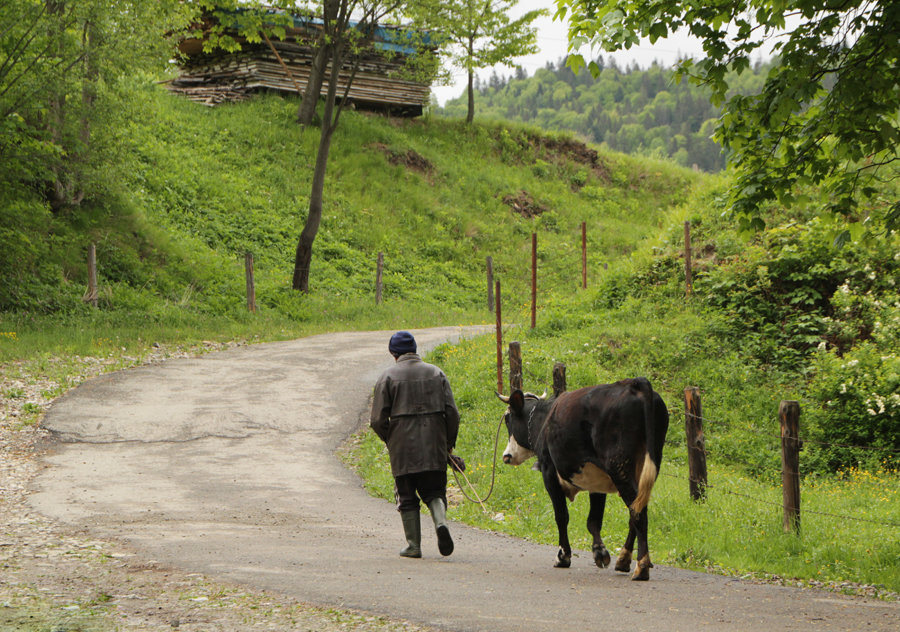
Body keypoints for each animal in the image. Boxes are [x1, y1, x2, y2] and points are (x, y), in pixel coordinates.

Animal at [500, 378, 668, 580]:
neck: (544, 420)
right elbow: (593, 521)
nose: (506, 456)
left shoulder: (549, 472)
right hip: (646, 466)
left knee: (637, 513)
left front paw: (563, 556)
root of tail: (635, 383)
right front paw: (599, 552)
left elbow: (561, 516)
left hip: (619, 468)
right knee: (636, 509)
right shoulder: (597, 482)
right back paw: (624, 559)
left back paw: (641, 567)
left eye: (508, 418)